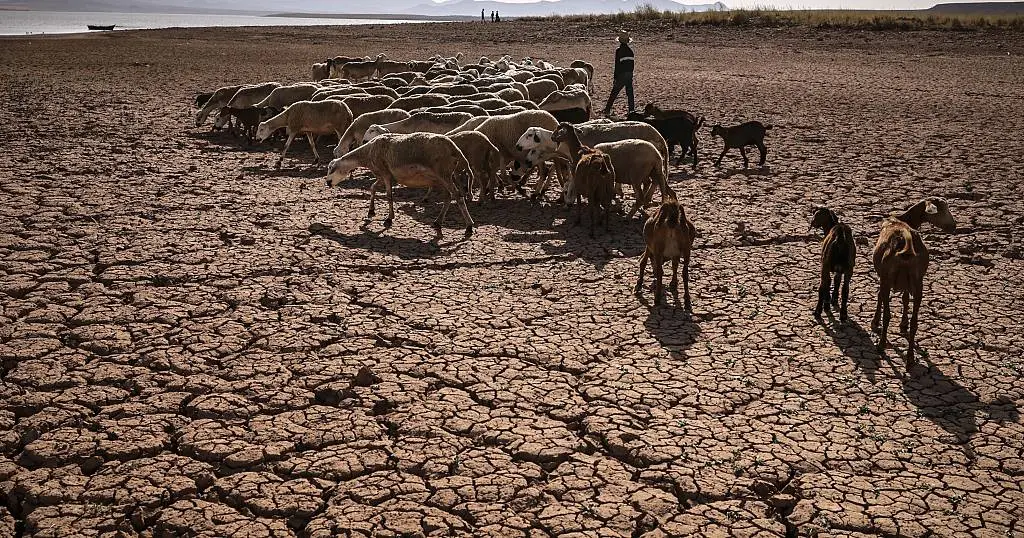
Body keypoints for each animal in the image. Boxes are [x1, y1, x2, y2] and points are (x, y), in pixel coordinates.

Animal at [323, 132, 475, 236]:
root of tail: (455, 149)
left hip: (444, 175)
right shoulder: (384, 175)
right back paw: (438, 222)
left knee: (458, 197)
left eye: (331, 168)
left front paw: (389, 219)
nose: (327, 182)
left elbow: (389, 196)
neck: (368, 153)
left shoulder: (385, 174)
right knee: (448, 197)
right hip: (442, 178)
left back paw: (469, 226)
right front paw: (371, 210)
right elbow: (372, 188)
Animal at [868, 196, 954, 364]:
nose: (954, 226)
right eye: (942, 209)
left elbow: (880, 296)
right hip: (918, 281)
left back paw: (881, 345)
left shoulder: (884, 277)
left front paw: (875, 322)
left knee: (887, 314)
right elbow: (905, 298)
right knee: (915, 321)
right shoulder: (907, 283)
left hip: (889, 278)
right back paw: (910, 357)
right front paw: (903, 324)